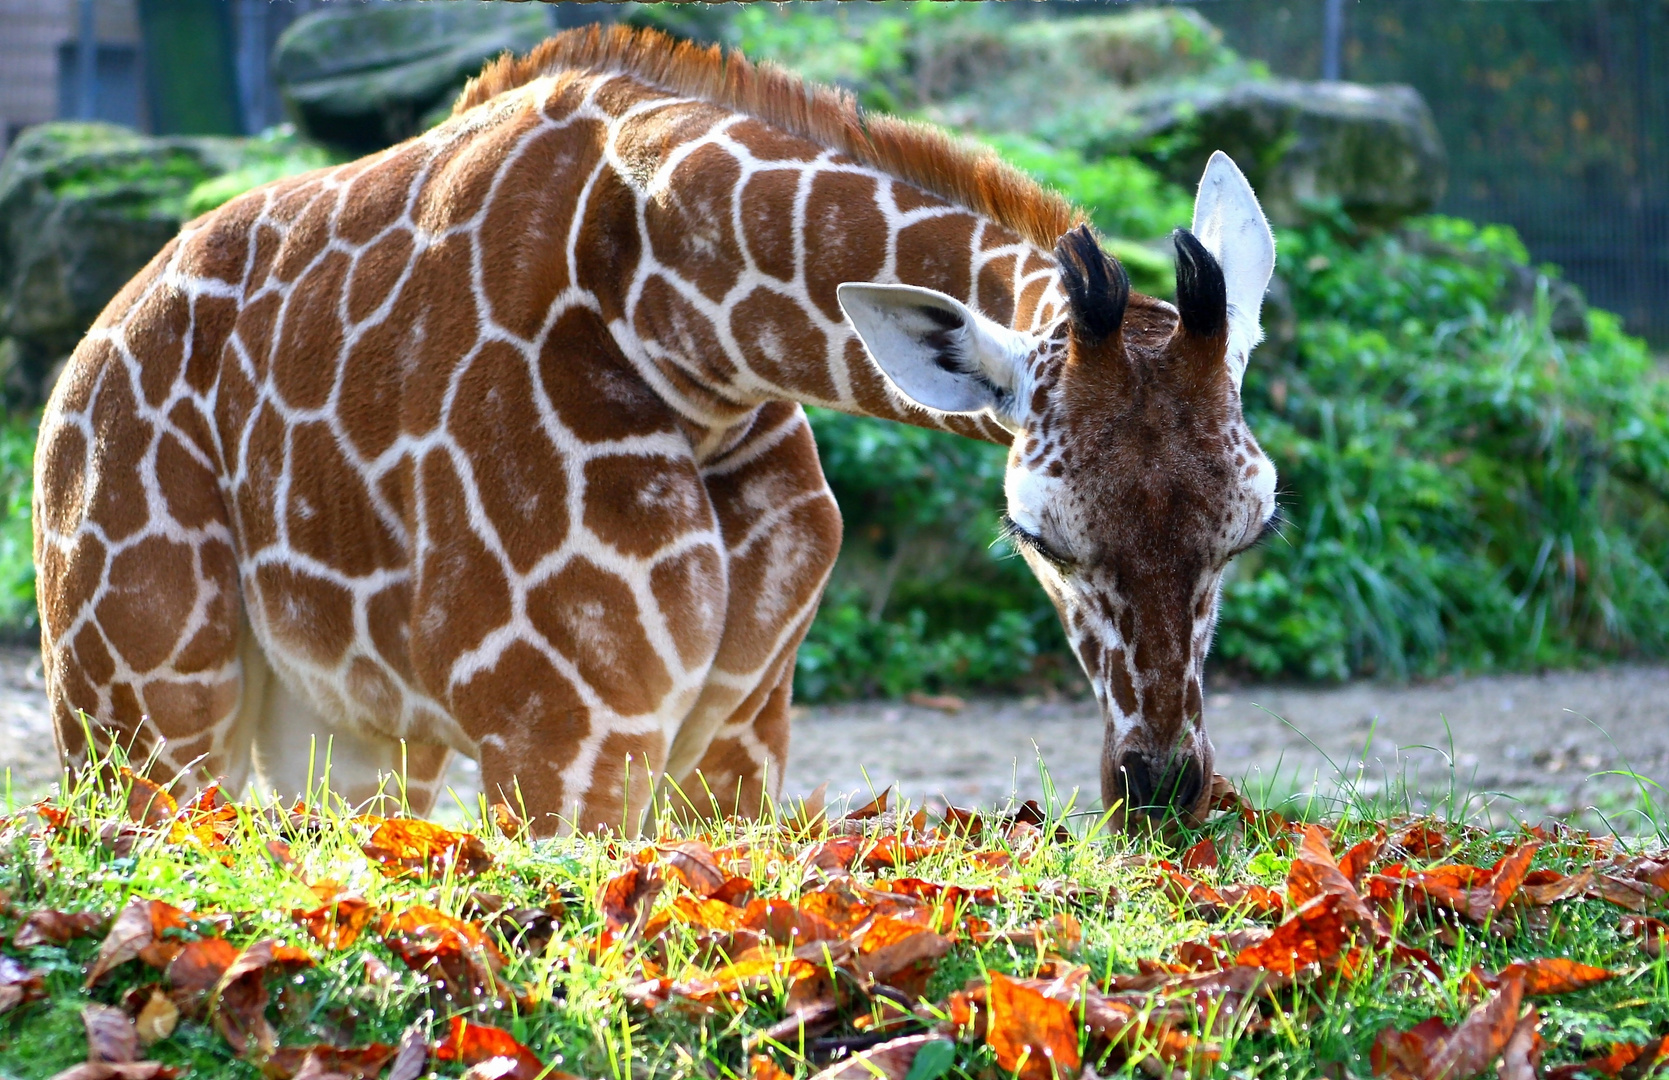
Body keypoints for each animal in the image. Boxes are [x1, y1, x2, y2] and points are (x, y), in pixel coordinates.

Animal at [35, 25, 1275, 837]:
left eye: (1249, 532)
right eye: (1035, 533)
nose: (1160, 790)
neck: (683, 327)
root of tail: (77, 369)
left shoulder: (738, 732)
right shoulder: (560, 733)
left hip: (343, 732)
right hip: (134, 704)